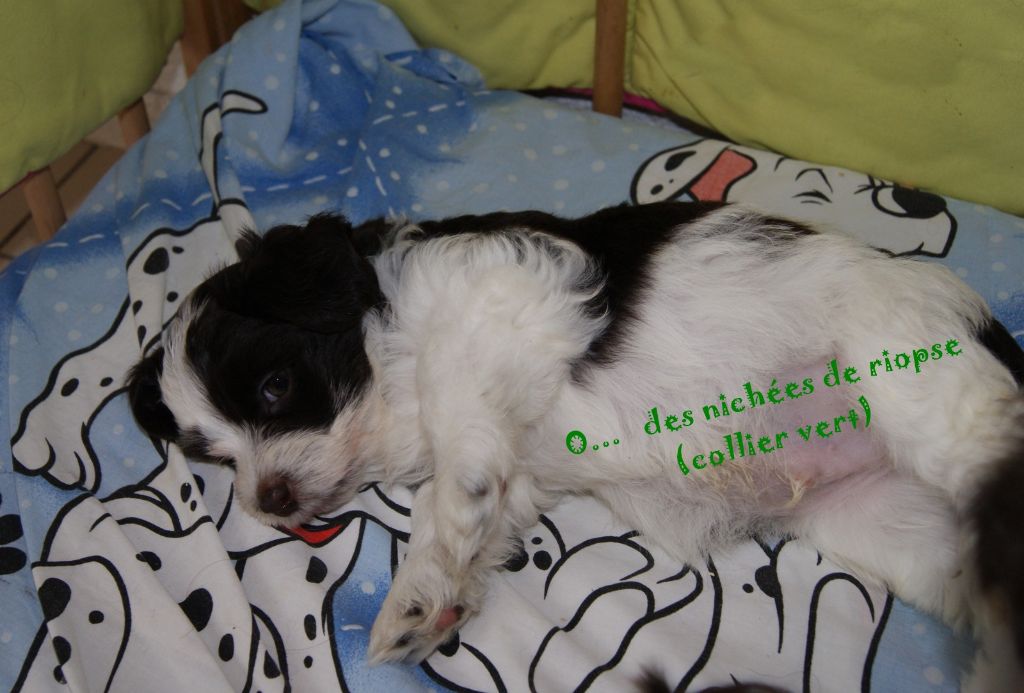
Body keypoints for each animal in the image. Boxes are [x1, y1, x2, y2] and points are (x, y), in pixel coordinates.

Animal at [127, 201, 1024, 690]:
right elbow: (477, 514)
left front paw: (431, 551)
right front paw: (433, 596)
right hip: (899, 529)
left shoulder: (504, 290)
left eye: (276, 389)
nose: (269, 501)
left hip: (915, 383)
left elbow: (453, 435)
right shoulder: (521, 466)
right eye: (213, 455)